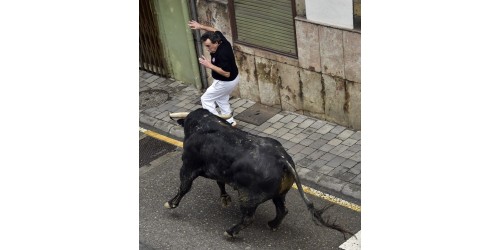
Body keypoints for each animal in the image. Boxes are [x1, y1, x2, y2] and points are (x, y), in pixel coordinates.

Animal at [164, 109, 352, 238]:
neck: (205, 124)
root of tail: (283, 159)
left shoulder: (188, 167)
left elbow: (184, 187)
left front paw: (171, 203)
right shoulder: (217, 170)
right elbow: (220, 182)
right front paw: (224, 198)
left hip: (247, 197)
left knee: (248, 218)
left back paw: (231, 232)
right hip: (279, 194)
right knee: (282, 210)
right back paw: (272, 224)